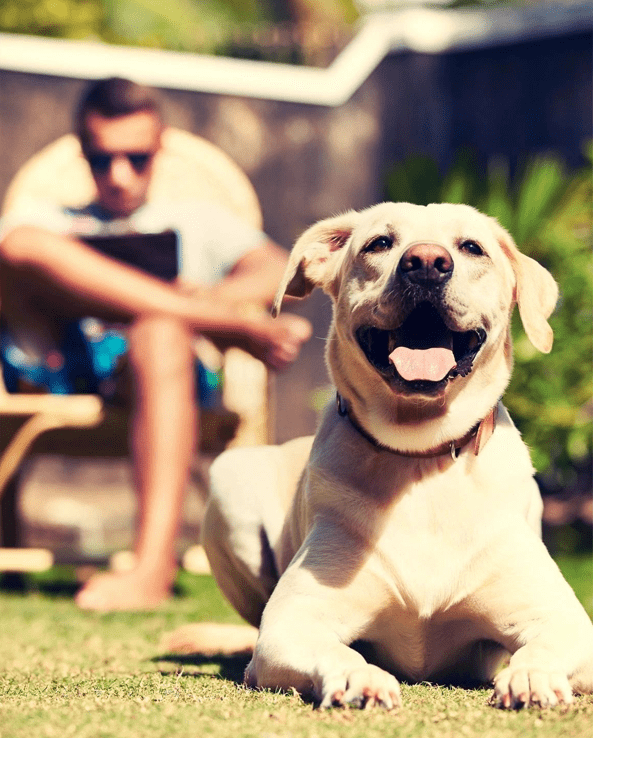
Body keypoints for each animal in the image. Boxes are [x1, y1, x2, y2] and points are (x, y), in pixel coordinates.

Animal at [169, 202, 592, 708]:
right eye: (380, 244)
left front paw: (531, 676)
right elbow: (332, 649)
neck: (422, 459)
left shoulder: (564, 620)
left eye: (472, 247)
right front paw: (359, 677)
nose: (427, 262)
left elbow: (546, 646)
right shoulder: (290, 623)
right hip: (231, 483)